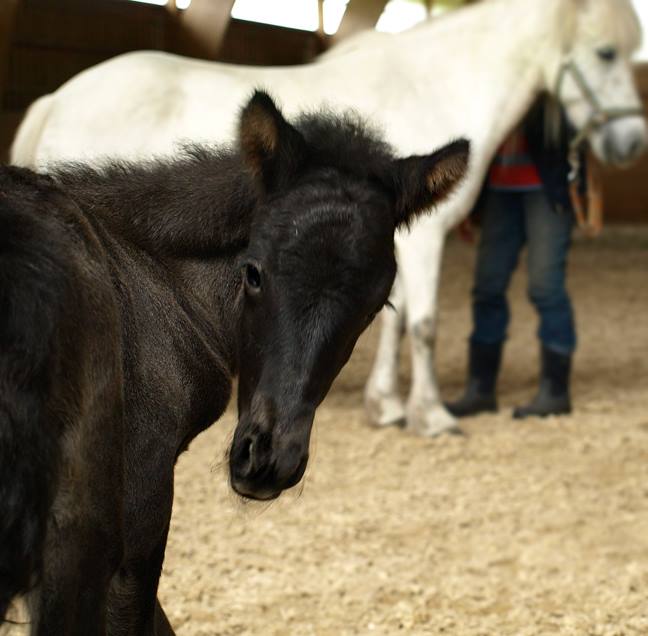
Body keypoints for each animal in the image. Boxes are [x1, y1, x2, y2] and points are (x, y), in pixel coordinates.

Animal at [11, 0, 648, 434]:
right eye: (606, 53)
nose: (631, 143)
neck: (433, 87)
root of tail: (58, 98)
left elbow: (395, 320)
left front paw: (387, 406)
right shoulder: (426, 239)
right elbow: (423, 323)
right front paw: (434, 415)